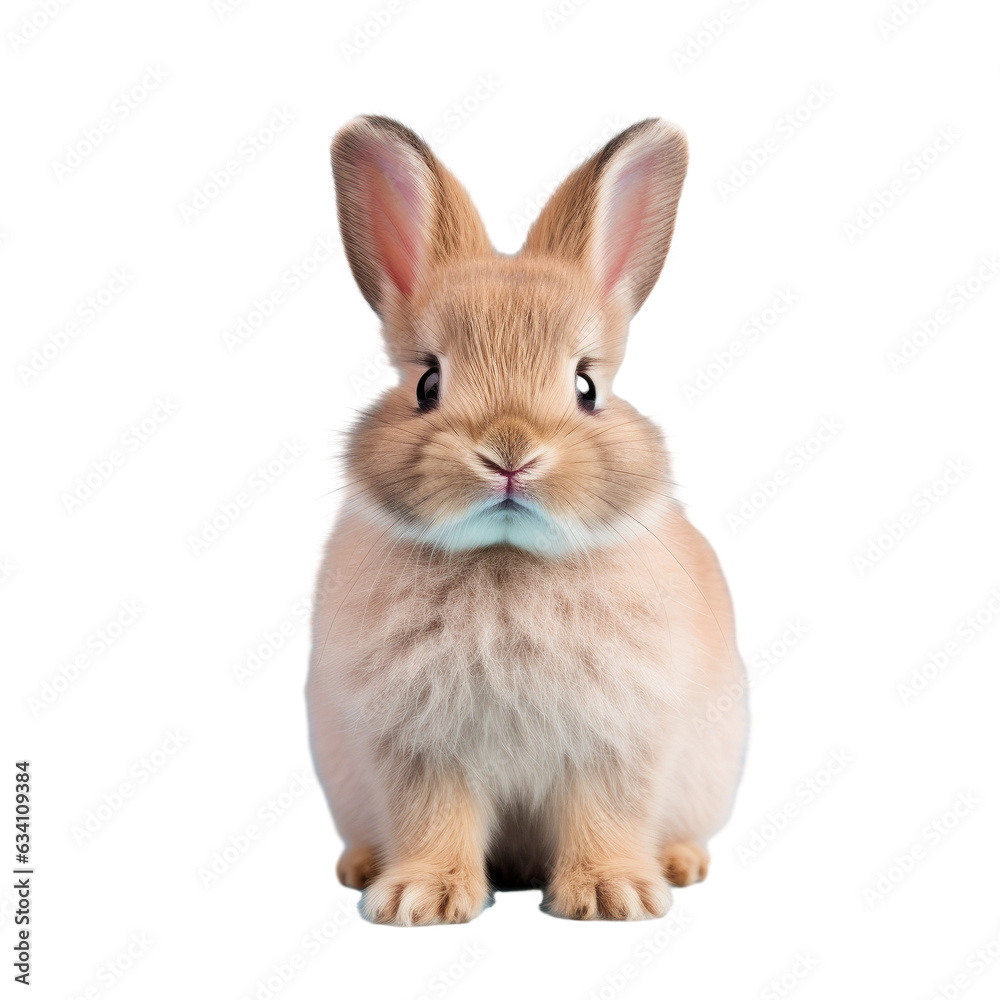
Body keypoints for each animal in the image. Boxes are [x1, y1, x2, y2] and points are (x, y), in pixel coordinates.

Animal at [307, 114, 747, 925]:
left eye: (586, 387)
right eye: (427, 383)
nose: (509, 453)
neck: (506, 556)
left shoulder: (617, 743)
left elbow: (607, 812)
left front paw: (612, 895)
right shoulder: (419, 749)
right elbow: (433, 818)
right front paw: (419, 899)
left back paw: (679, 862)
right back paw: (361, 867)